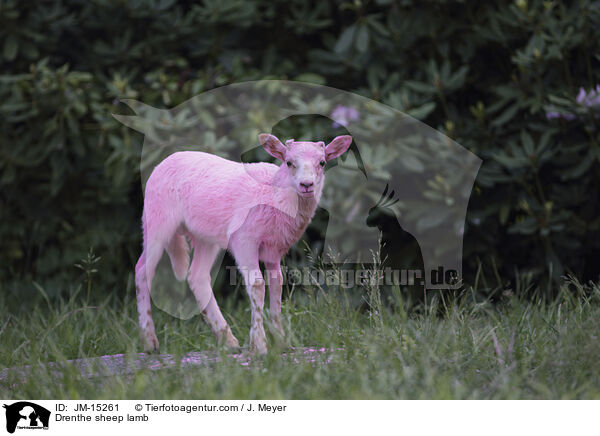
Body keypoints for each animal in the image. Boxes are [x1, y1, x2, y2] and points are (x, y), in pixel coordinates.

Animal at [135, 133, 352, 354]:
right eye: (289, 162)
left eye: (322, 162)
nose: (306, 185)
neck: (273, 192)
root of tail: (163, 162)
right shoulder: (244, 240)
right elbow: (257, 284)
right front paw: (259, 345)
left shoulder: (275, 248)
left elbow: (277, 283)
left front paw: (280, 340)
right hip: (157, 217)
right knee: (143, 270)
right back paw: (149, 341)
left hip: (205, 236)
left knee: (197, 277)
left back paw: (228, 340)